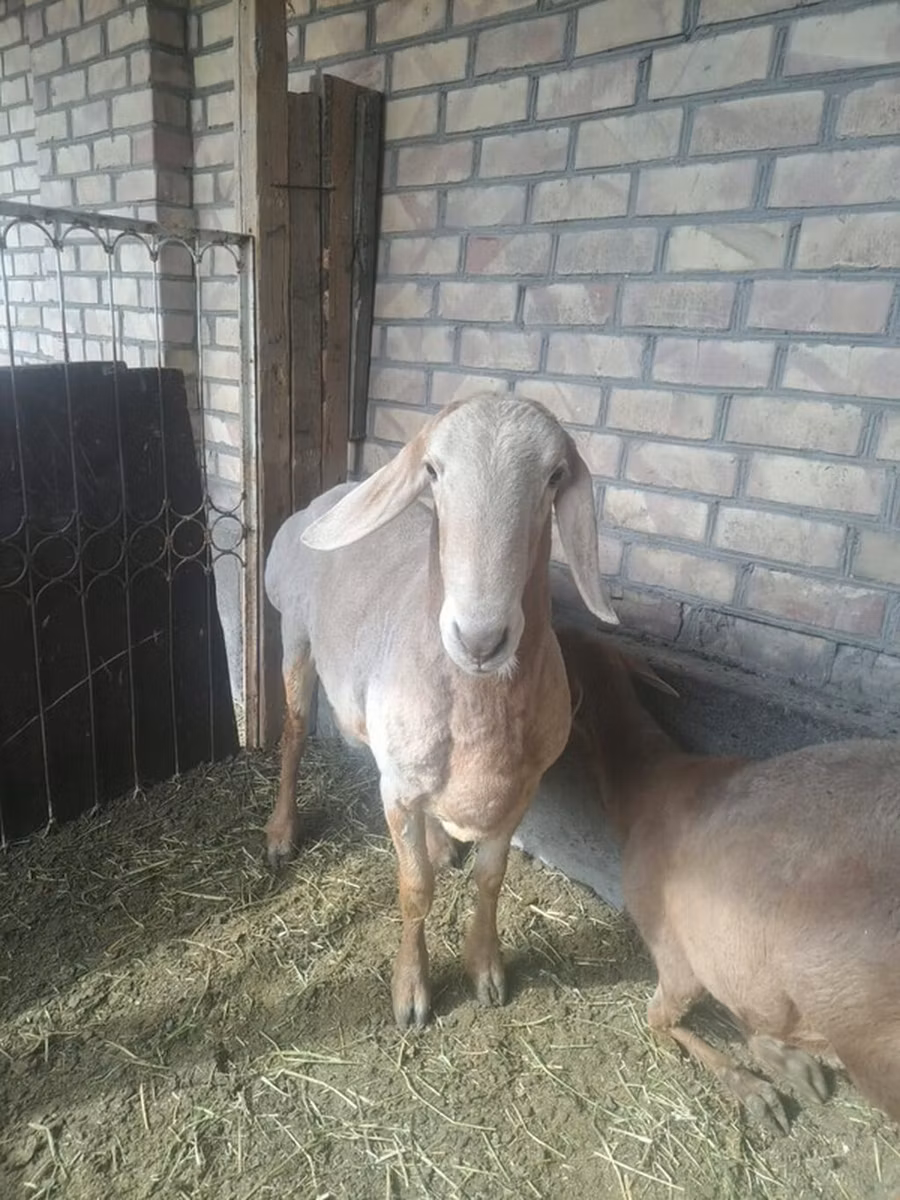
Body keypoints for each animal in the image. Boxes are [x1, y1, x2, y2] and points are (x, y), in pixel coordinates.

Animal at [263, 395, 619, 1029]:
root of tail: (333, 493)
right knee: (296, 732)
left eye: (555, 476)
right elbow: (415, 890)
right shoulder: (397, 791)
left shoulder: (522, 789)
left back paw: (440, 843)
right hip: (296, 636)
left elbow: (491, 878)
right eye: (431, 469)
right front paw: (411, 992)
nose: (479, 639)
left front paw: (486, 970)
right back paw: (281, 832)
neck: (477, 707)